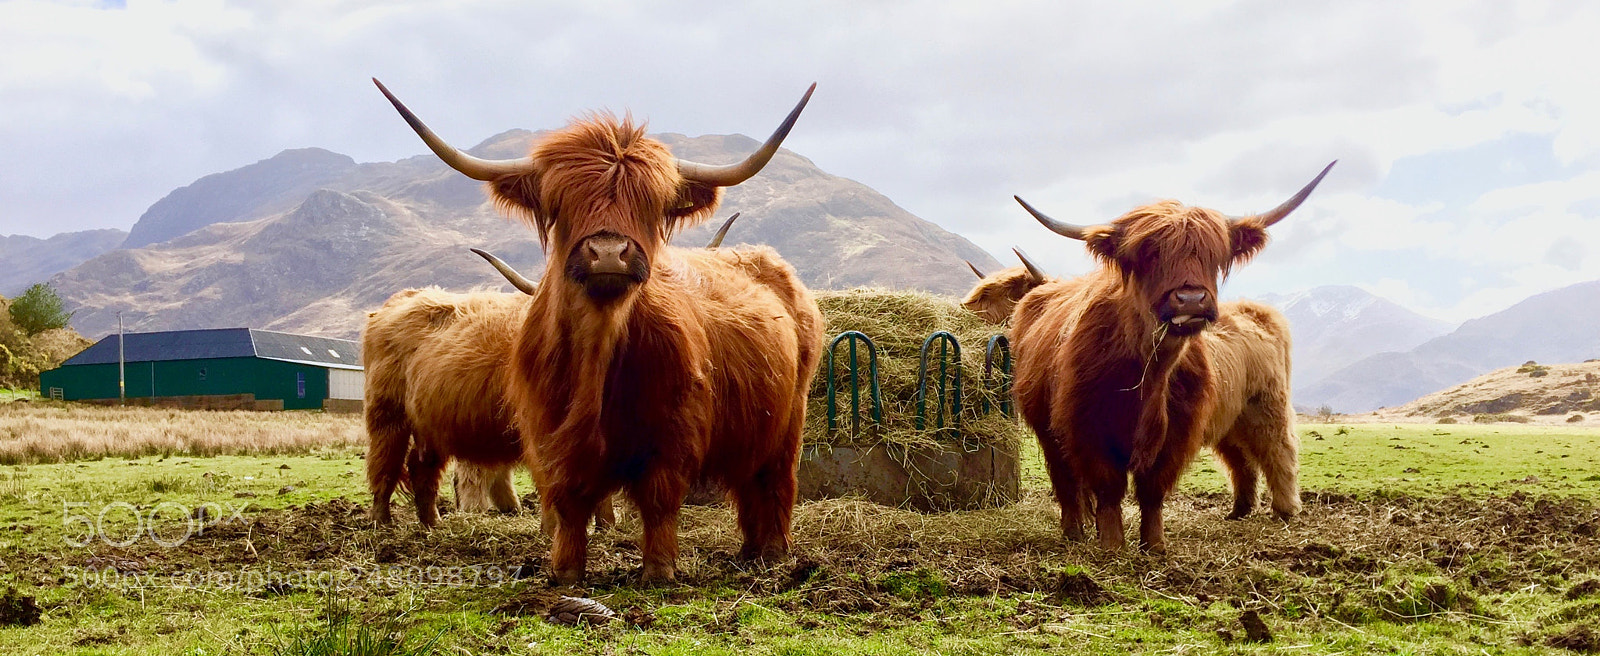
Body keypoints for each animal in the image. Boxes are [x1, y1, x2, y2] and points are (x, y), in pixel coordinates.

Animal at [374, 79, 824, 584]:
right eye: (559, 201)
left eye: (652, 203)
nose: (609, 252)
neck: (597, 347)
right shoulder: (546, 432)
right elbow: (568, 502)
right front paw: (566, 571)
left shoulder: (675, 431)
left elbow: (659, 500)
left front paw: (658, 571)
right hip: (390, 414)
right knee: (396, 464)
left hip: (788, 418)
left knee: (774, 480)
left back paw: (772, 552)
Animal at [962, 250, 1302, 525]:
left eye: (1000, 291)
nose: (963, 307)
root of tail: (1262, 314)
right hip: (1229, 418)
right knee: (1241, 460)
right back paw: (1239, 510)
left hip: (1266, 406)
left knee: (1279, 450)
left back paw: (1284, 509)